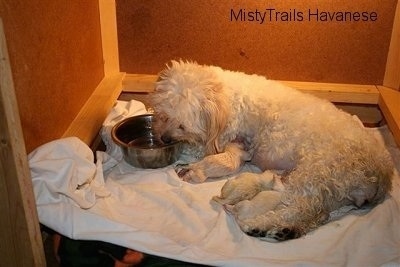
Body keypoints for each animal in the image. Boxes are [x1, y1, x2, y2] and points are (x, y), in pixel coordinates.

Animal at [152, 60, 396, 243]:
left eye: (182, 125)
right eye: (163, 115)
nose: (164, 138)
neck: (226, 96)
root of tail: (383, 171)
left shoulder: (222, 138)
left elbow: (201, 150)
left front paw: (189, 166)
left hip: (314, 173)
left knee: (299, 209)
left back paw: (259, 226)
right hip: (331, 191)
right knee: (317, 215)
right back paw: (286, 230)